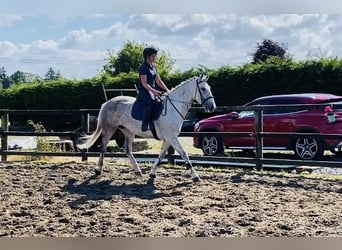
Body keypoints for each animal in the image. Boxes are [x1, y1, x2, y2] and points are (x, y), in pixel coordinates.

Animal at [78, 74, 216, 182]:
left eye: (209, 88)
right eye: (203, 89)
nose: (212, 107)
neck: (174, 107)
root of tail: (107, 102)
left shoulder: (169, 138)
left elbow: (161, 155)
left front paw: (152, 173)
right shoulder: (171, 137)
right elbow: (184, 154)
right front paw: (195, 176)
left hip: (128, 131)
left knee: (128, 151)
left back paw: (138, 171)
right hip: (109, 129)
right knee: (103, 148)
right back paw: (98, 170)